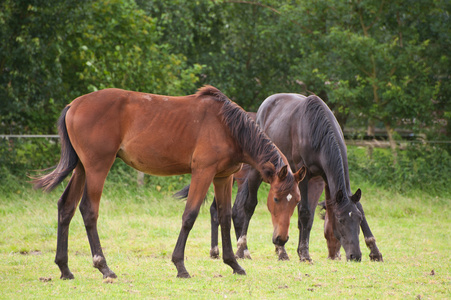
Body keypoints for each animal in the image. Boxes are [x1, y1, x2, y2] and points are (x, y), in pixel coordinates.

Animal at [32, 86, 308, 278]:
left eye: (297, 201)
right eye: (275, 199)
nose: (281, 240)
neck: (227, 126)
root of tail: (74, 105)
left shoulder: (223, 177)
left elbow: (225, 216)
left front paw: (233, 264)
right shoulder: (203, 173)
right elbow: (190, 216)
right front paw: (180, 266)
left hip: (81, 168)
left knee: (66, 207)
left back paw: (65, 269)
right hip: (97, 167)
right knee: (88, 210)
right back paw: (104, 267)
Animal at [231, 92, 384, 262]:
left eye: (359, 219)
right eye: (340, 220)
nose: (355, 255)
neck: (318, 131)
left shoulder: (321, 179)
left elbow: (312, 215)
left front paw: (375, 251)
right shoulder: (304, 176)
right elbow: (304, 212)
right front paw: (304, 253)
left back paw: (280, 249)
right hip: (257, 171)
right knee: (249, 205)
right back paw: (243, 250)